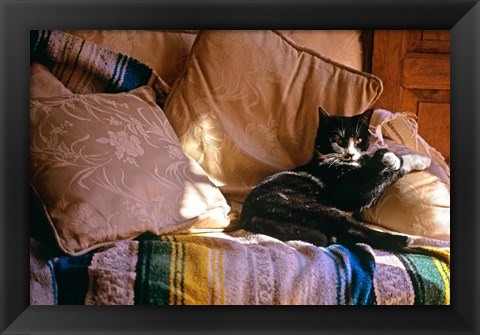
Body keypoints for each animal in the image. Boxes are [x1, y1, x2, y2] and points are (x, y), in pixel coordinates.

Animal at [240, 107, 432, 252]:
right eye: (337, 140)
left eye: (358, 140)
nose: (350, 153)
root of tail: (247, 215)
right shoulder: (356, 192)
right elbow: (390, 167)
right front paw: (401, 158)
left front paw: (414, 158)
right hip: (311, 207)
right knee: (351, 228)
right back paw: (404, 241)